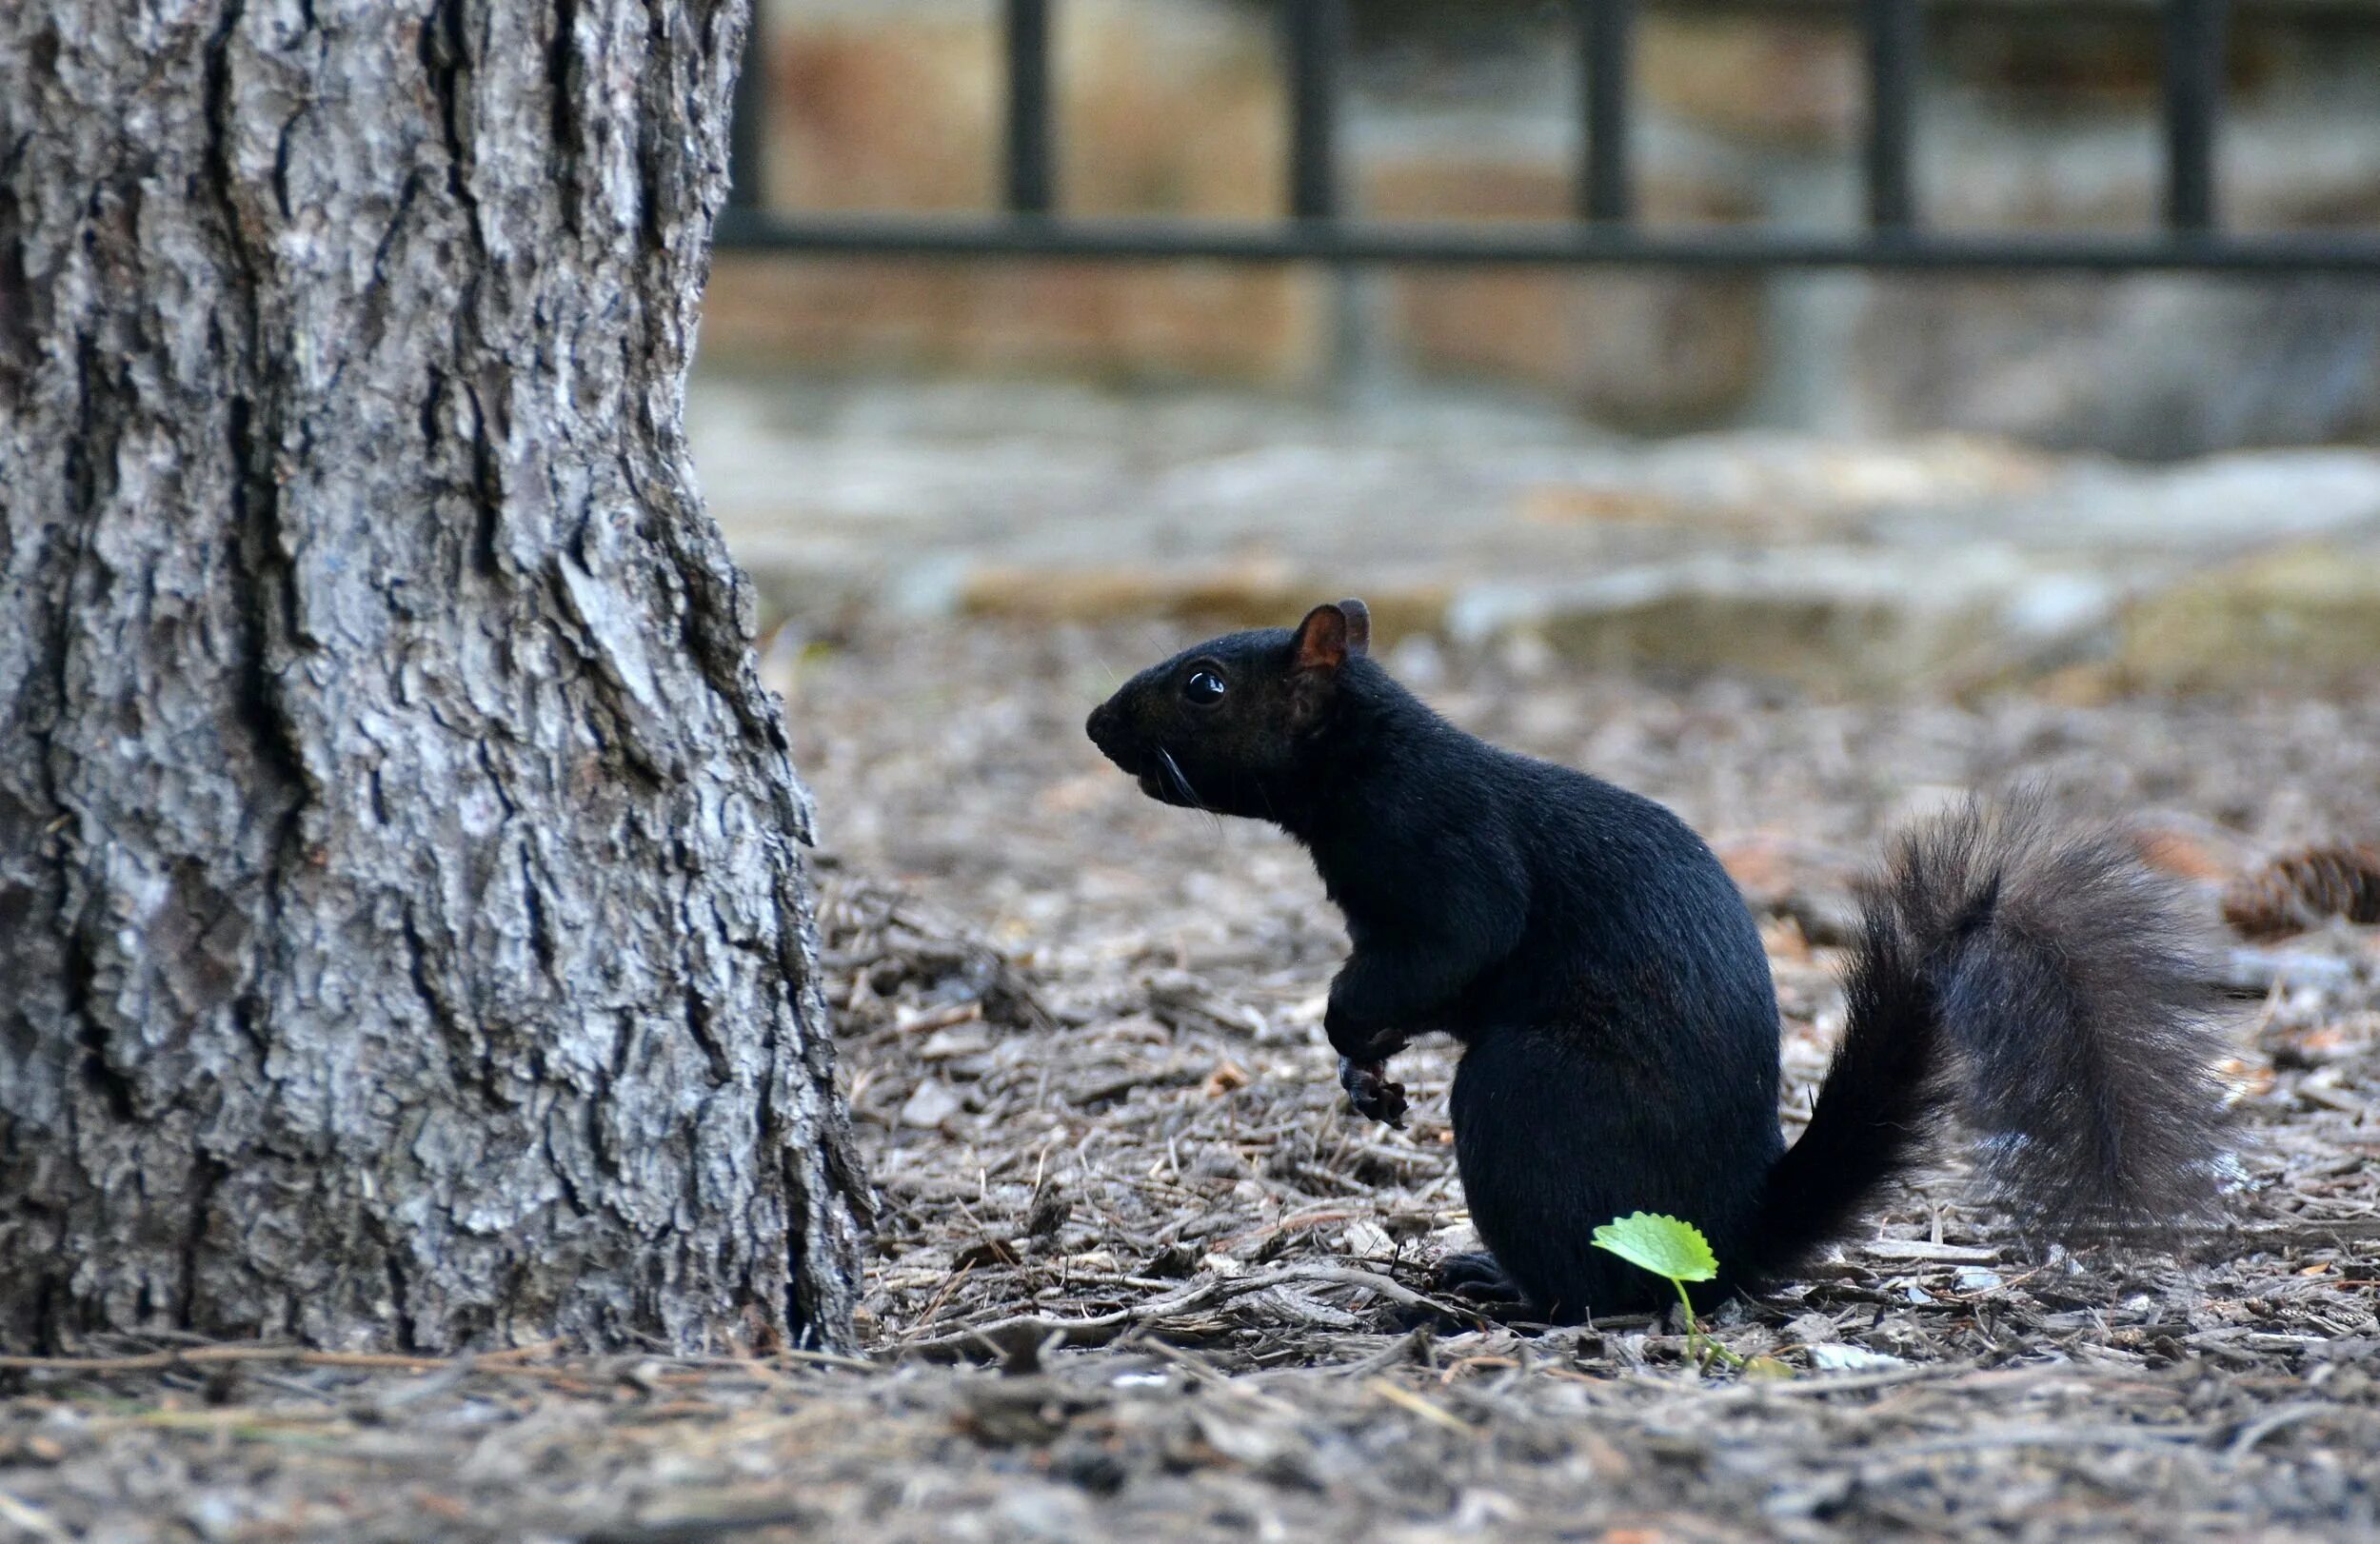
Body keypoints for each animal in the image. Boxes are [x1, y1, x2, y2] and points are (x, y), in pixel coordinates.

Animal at [1090, 597, 2237, 1322]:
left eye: (1204, 684)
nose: (1099, 724)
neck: (1364, 758)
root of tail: (1730, 1229)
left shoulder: (1445, 856)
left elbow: (1449, 947)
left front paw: (1345, 1032)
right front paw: (1361, 1071)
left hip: (1527, 1095)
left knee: (1599, 1289)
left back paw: (1502, 1298)